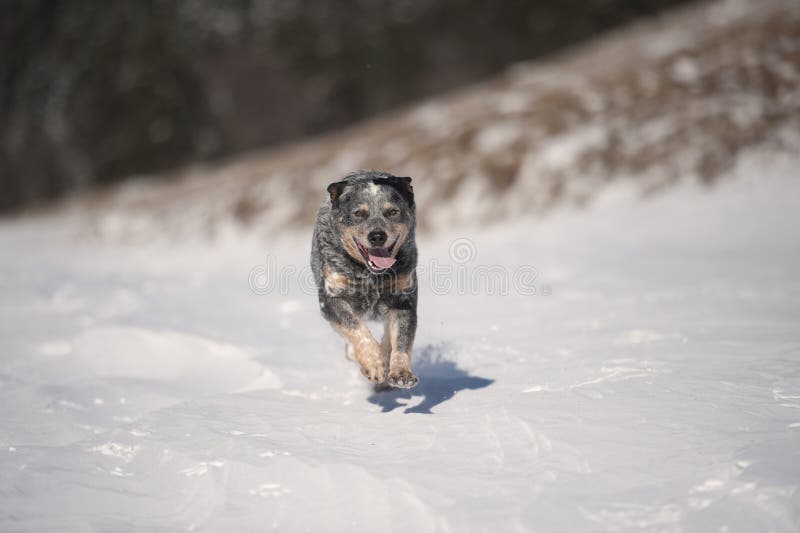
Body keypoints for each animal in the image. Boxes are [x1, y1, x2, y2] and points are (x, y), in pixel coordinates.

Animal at [310, 169, 418, 386]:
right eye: (358, 213)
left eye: (392, 212)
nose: (377, 236)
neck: (371, 276)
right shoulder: (331, 297)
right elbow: (356, 328)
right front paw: (373, 364)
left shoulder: (404, 298)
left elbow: (401, 340)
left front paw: (401, 372)